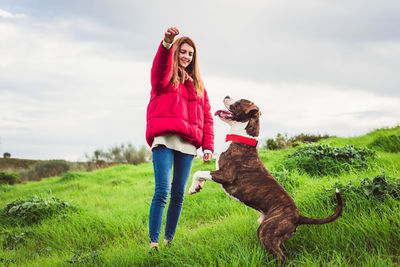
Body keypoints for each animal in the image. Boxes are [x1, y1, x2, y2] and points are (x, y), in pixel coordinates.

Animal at [189, 96, 342, 264]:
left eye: (239, 102)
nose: (227, 96)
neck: (242, 137)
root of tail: (298, 217)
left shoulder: (225, 175)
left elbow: (198, 172)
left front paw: (192, 188)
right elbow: (201, 174)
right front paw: (197, 187)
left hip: (266, 232)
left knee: (282, 258)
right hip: (274, 235)